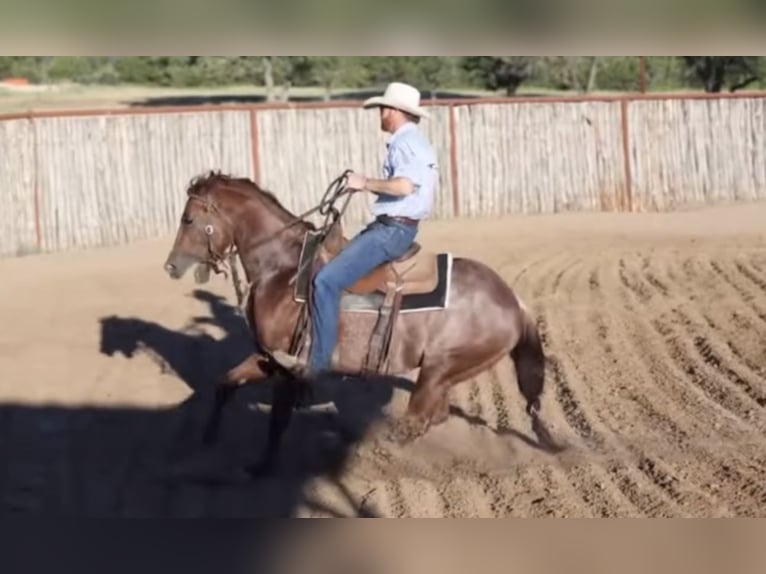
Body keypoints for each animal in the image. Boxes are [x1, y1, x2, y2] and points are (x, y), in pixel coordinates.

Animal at [164, 172, 560, 476]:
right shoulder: (267, 358)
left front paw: (262, 468)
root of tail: (514, 302)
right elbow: (224, 384)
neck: (284, 269)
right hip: (444, 375)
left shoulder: (288, 368)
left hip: (439, 369)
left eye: (188, 219)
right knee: (436, 417)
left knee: (416, 421)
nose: (171, 266)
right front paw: (208, 441)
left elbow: (277, 419)